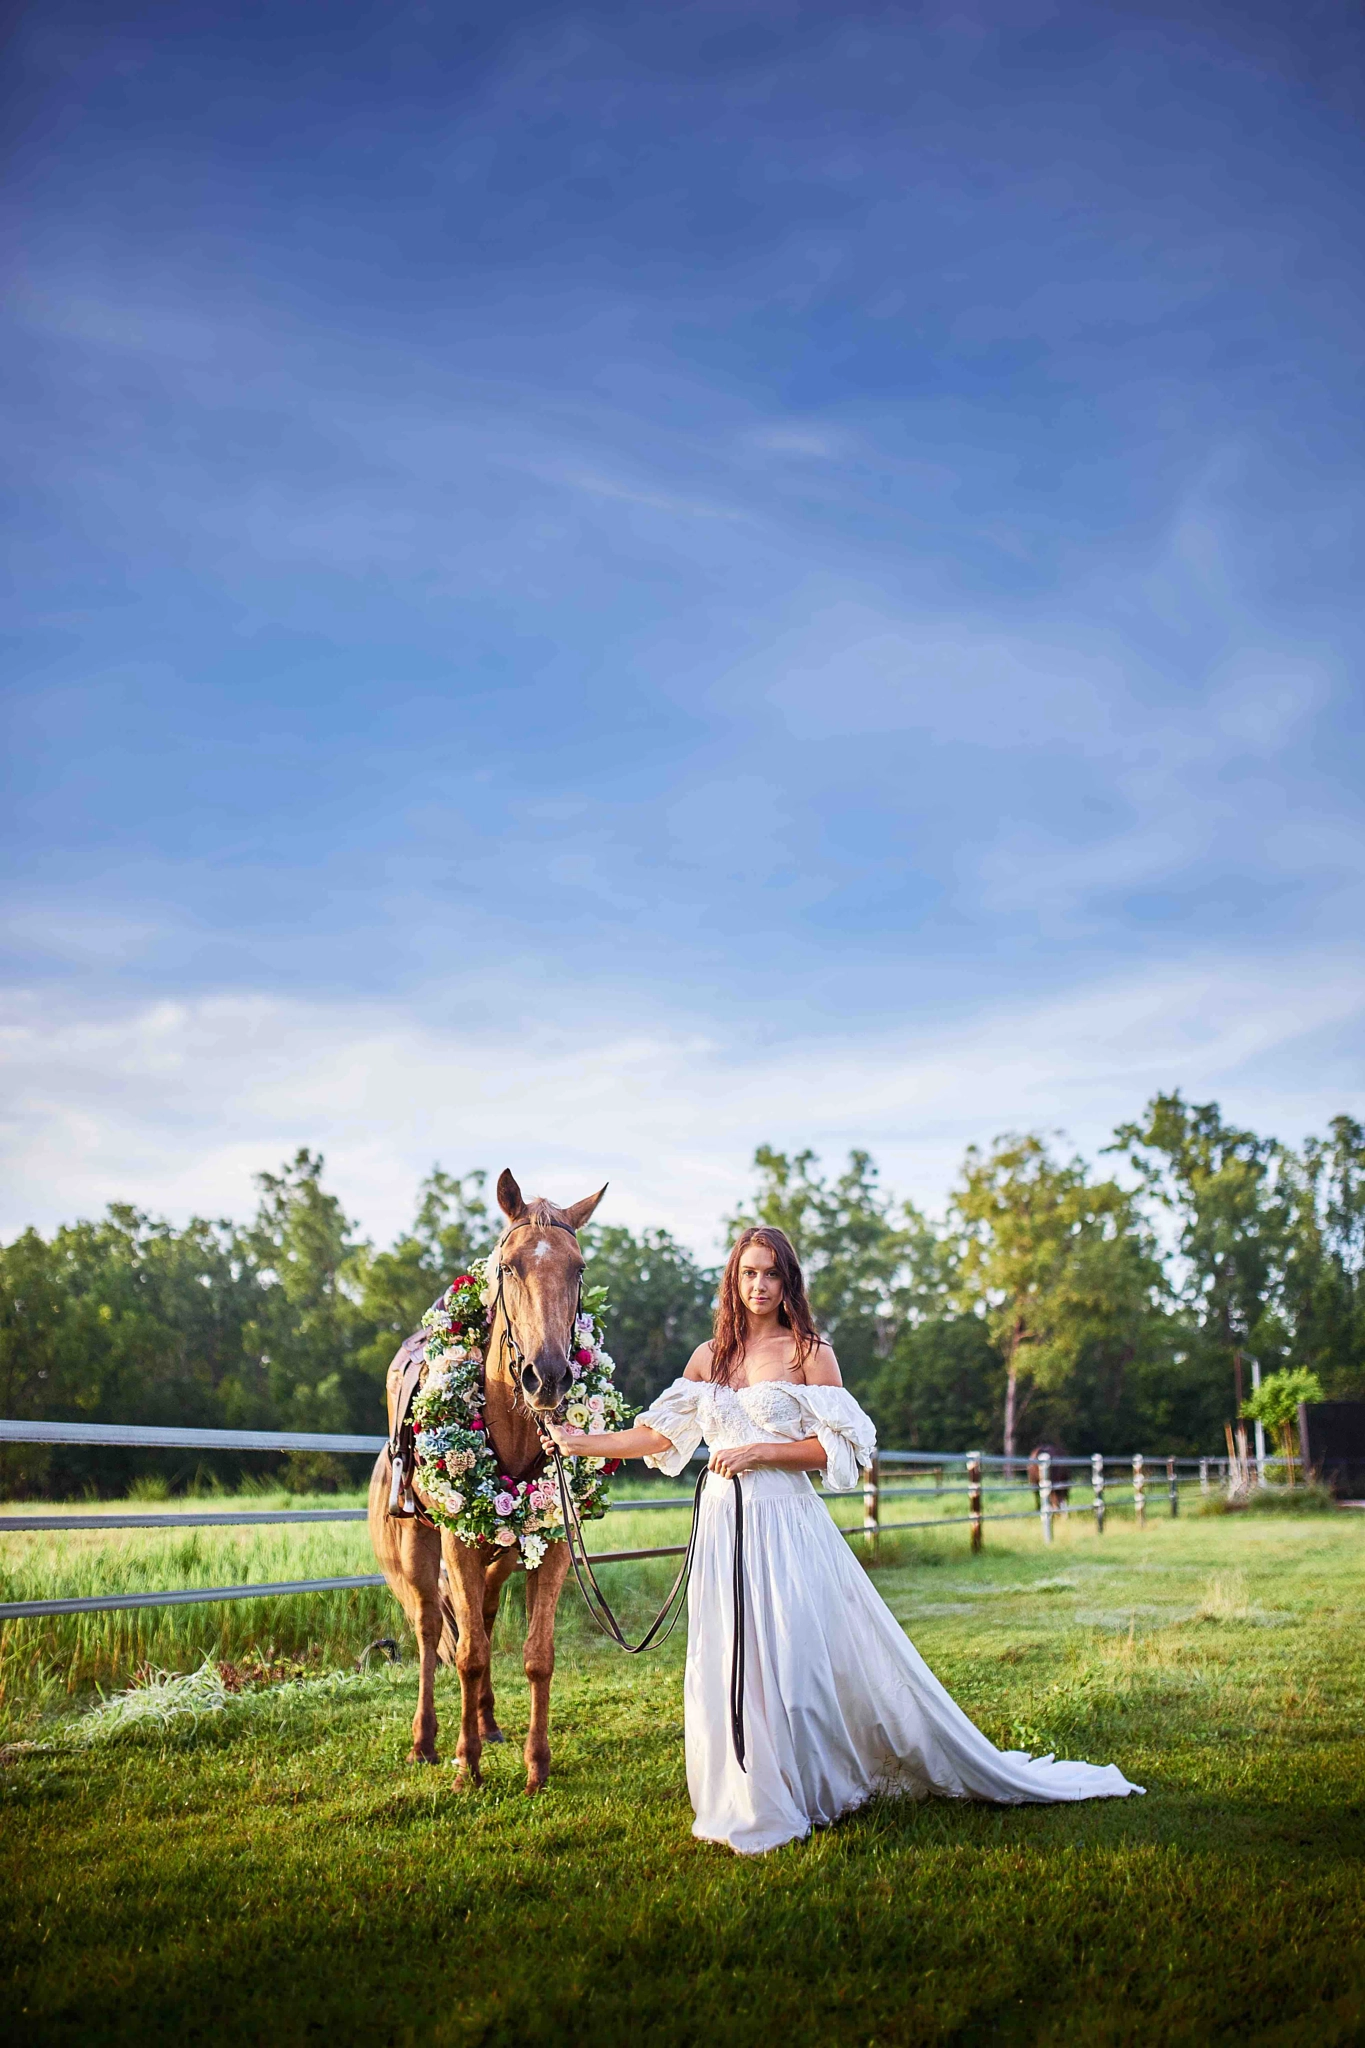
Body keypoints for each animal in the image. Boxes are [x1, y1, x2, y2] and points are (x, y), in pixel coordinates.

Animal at [366, 1171, 605, 1794]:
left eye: (579, 1269)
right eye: (510, 1267)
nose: (548, 1378)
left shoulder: (552, 1550)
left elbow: (537, 1654)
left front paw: (536, 1767)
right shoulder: (458, 1543)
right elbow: (468, 1653)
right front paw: (465, 1766)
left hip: (502, 1553)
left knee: (488, 1619)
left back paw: (490, 1723)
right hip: (417, 1549)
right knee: (431, 1632)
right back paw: (426, 1743)